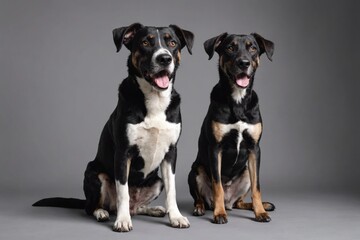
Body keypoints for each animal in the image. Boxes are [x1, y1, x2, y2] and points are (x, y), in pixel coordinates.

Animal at [33, 23, 194, 232]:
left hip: (156, 181)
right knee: (93, 207)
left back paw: (153, 209)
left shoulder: (171, 152)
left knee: (136, 206)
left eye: (172, 43)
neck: (155, 99)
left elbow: (172, 190)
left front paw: (175, 216)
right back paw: (102, 212)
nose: (164, 58)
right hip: (95, 174)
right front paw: (123, 220)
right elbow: (123, 191)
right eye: (145, 42)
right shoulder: (123, 153)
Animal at [187, 31, 274, 223]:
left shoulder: (254, 149)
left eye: (253, 48)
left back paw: (261, 205)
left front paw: (260, 212)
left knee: (240, 202)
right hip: (196, 171)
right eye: (230, 48)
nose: (244, 63)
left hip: (246, 172)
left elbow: (257, 187)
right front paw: (219, 214)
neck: (238, 99)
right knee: (200, 197)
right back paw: (202, 208)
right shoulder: (215, 148)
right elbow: (217, 184)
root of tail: (229, 202)